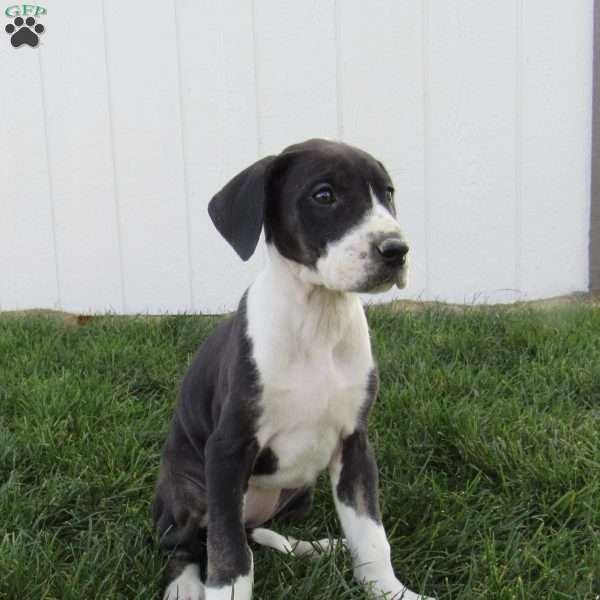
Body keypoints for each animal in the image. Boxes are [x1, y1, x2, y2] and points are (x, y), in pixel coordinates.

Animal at [152, 138, 434, 596]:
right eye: (324, 195)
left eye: (388, 193)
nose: (396, 250)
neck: (318, 319)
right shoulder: (228, 450)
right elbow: (228, 553)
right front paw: (223, 589)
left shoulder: (355, 445)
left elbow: (371, 535)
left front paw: (390, 590)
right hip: (191, 493)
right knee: (192, 543)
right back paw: (185, 585)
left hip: (299, 494)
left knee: (254, 533)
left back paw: (314, 547)